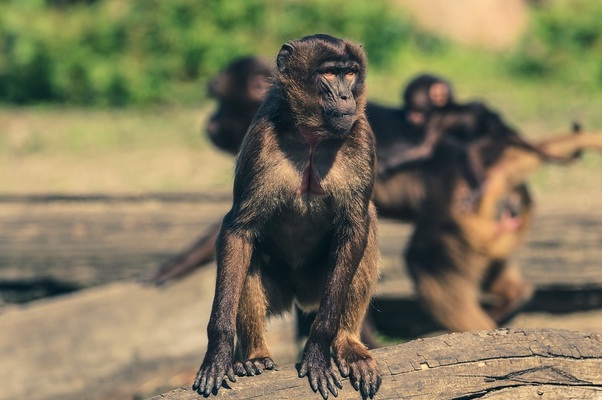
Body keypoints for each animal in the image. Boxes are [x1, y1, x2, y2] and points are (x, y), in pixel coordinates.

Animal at [192, 34, 380, 400]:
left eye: (350, 73)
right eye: (330, 73)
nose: (346, 96)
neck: (312, 136)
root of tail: (299, 296)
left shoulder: (362, 136)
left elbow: (355, 227)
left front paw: (318, 349)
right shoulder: (260, 139)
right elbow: (238, 230)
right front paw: (218, 353)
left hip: (317, 284)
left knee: (367, 227)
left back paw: (348, 343)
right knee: (247, 253)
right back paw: (254, 356)